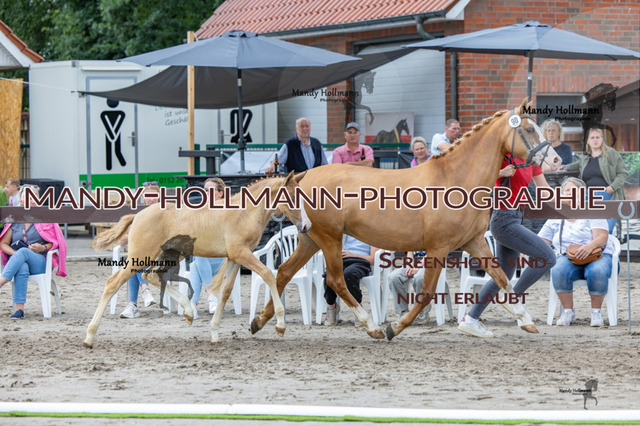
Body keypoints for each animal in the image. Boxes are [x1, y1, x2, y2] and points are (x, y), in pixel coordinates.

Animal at [83, 172, 309, 348]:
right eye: (292, 197)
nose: (306, 226)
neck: (244, 212)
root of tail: (137, 216)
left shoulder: (235, 257)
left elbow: (225, 292)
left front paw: (215, 333)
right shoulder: (242, 253)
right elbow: (269, 274)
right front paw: (280, 325)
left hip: (168, 255)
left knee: (151, 276)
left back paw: (188, 311)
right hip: (140, 256)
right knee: (113, 283)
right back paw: (89, 337)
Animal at [249, 99, 561, 340]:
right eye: (529, 128)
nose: (556, 160)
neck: (455, 178)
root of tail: (301, 179)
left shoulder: (473, 242)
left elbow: (500, 278)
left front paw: (526, 320)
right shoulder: (438, 248)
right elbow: (426, 294)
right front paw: (395, 328)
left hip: (310, 238)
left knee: (283, 272)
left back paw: (262, 321)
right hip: (329, 239)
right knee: (336, 281)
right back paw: (372, 326)